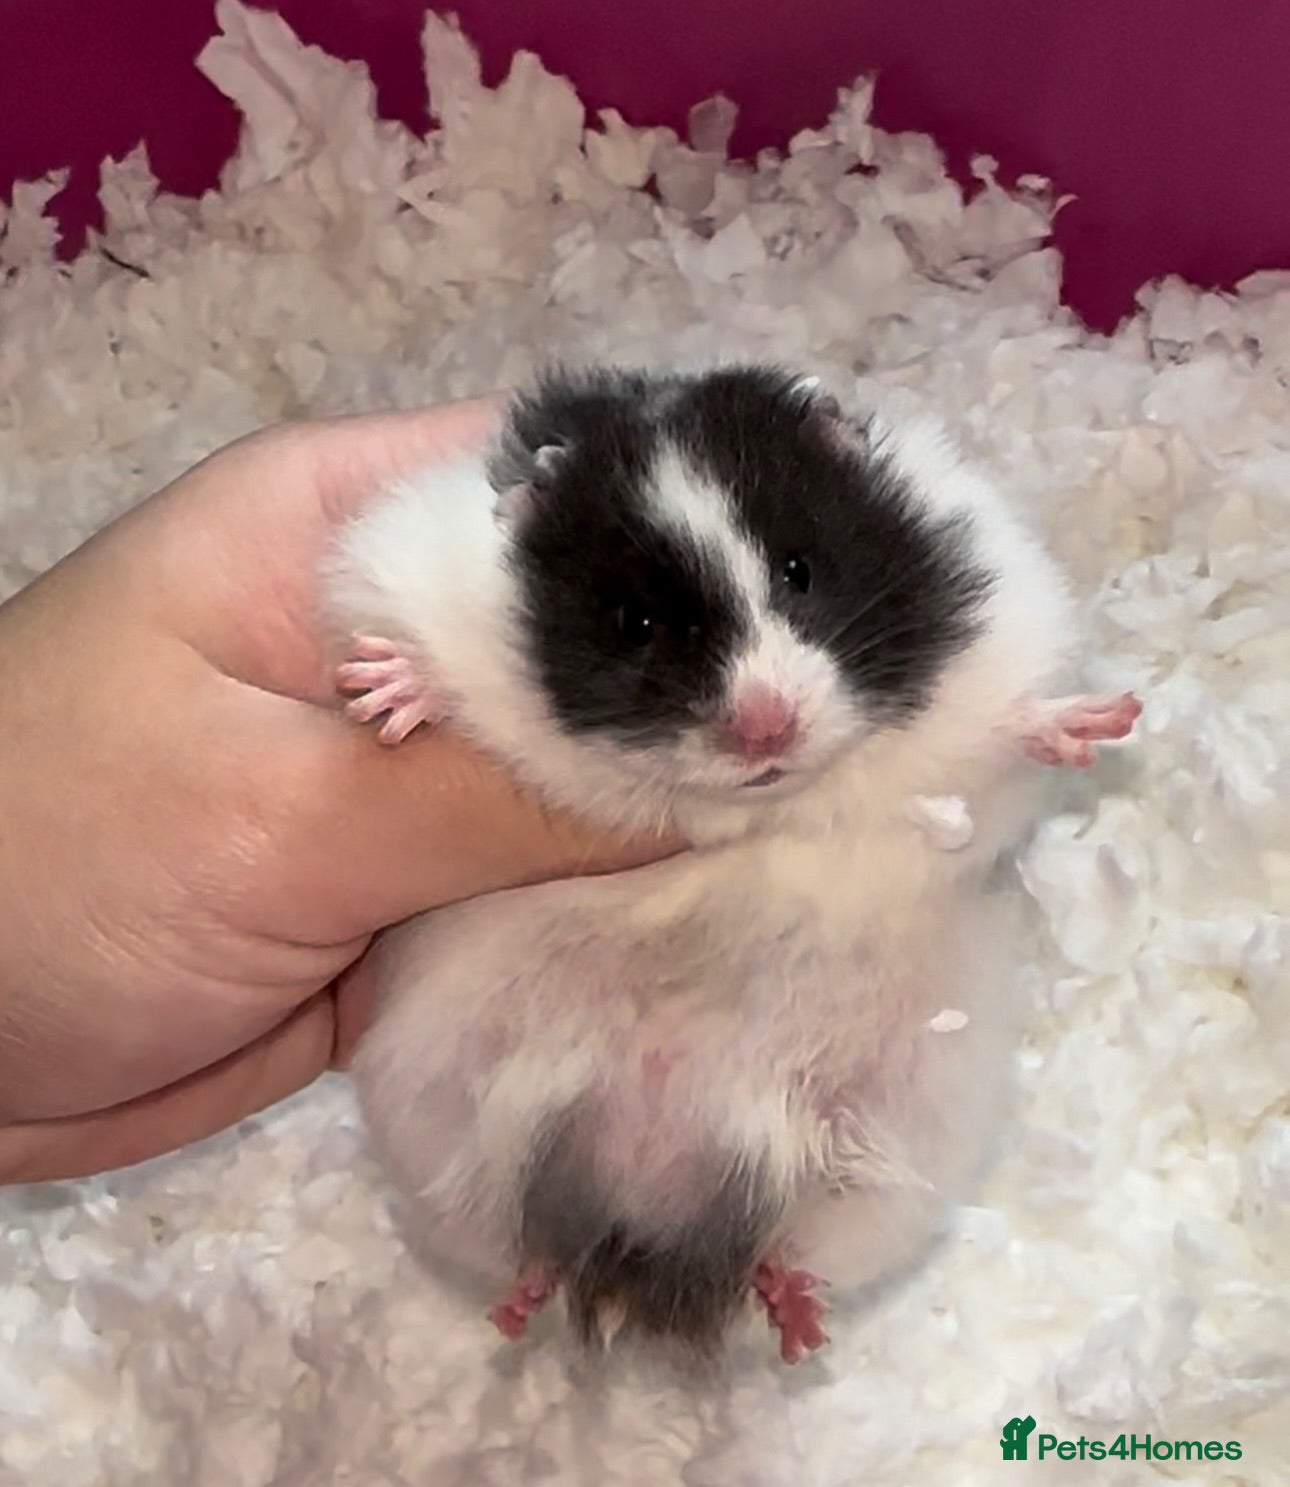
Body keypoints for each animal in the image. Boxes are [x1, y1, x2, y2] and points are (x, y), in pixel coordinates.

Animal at [324, 365, 1140, 1364]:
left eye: (799, 570)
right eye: (635, 621)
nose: (766, 727)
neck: (755, 806)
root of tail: (651, 1212)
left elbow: (1008, 734)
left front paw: (1107, 720)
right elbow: (436, 669)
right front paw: (383, 693)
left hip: (898, 1131)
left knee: (787, 1239)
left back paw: (798, 1320)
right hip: (436, 1115)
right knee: (520, 1231)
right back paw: (520, 1308)